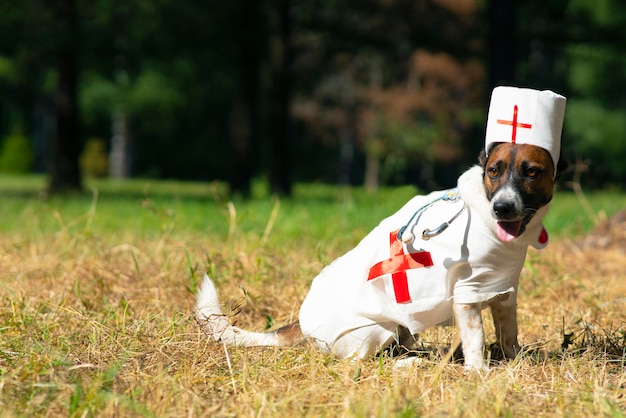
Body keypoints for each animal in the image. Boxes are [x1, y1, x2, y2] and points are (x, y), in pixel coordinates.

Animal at [195, 87, 564, 370]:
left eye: (531, 172)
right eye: (493, 171)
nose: (502, 207)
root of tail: (303, 324)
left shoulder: (504, 291)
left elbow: (509, 334)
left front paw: (513, 362)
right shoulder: (468, 295)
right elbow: (476, 338)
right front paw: (478, 372)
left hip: (401, 328)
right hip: (375, 329)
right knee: (363, 362)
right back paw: (411, 363)